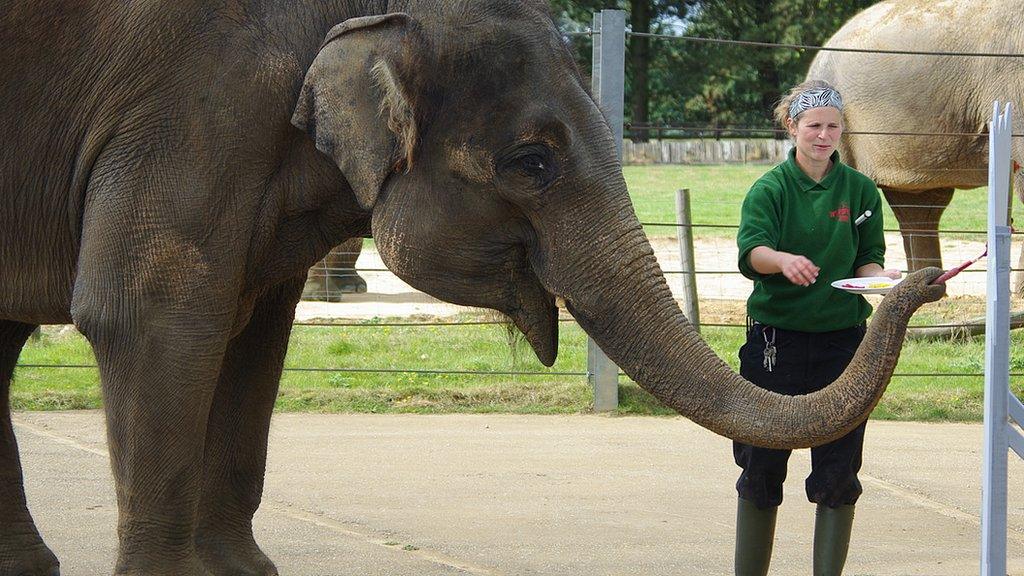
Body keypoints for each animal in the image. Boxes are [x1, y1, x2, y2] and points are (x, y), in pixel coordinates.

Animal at [0, 1, 942, 573]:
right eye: (533, 162)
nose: (926, 278)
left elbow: (255, 336)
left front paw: (243, 571)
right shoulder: (191, 104)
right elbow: (146, 315)